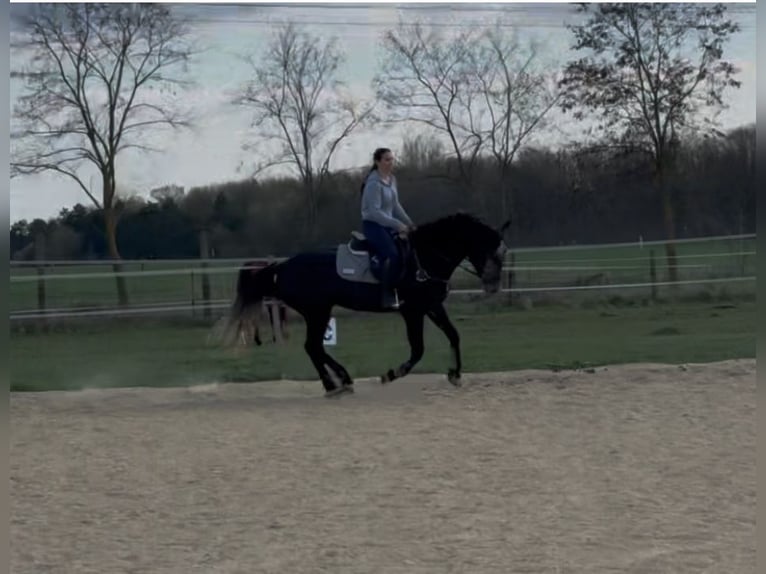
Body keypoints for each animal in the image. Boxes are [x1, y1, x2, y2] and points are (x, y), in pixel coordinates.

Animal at [218, 212, 510, 397]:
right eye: (491, 250)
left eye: (503, 253)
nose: (493, 286)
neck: (423, 258)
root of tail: (283, 266)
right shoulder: (412, 311)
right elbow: (418, 349)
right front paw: (391, 374)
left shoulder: (432, 306)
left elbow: (453, 335)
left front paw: (455, 374)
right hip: (317, 312)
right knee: (313, 347)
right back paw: (334, 385)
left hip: (318, 312)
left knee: (315, 348)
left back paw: (342, 380)